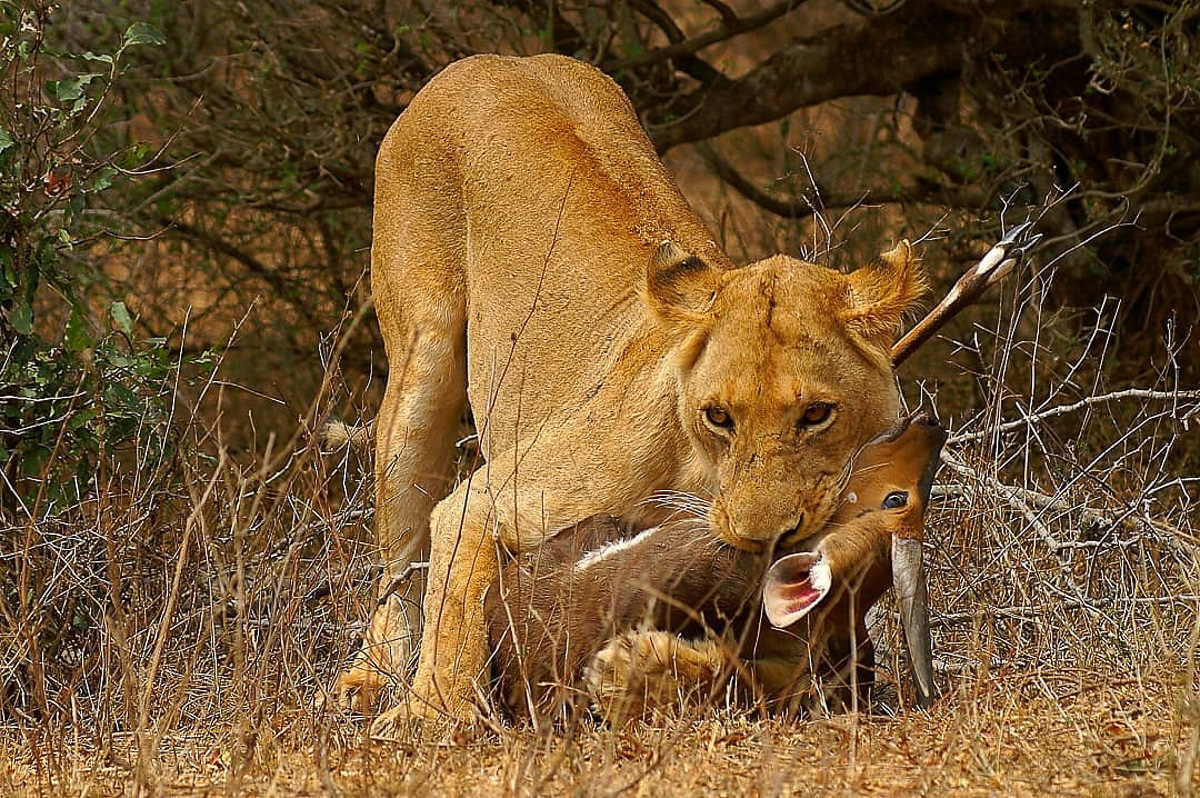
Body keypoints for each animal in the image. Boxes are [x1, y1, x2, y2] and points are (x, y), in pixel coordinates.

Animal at [335, 53, 926, 734]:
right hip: (419, 367)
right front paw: (431, 716)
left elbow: (748, 676)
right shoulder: (486, 501)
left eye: (817, 414)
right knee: (399, 553)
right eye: (718, 416)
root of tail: (493, 58)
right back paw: (368, 679)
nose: (763, 541)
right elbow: (454, 613)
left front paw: (641, 675)